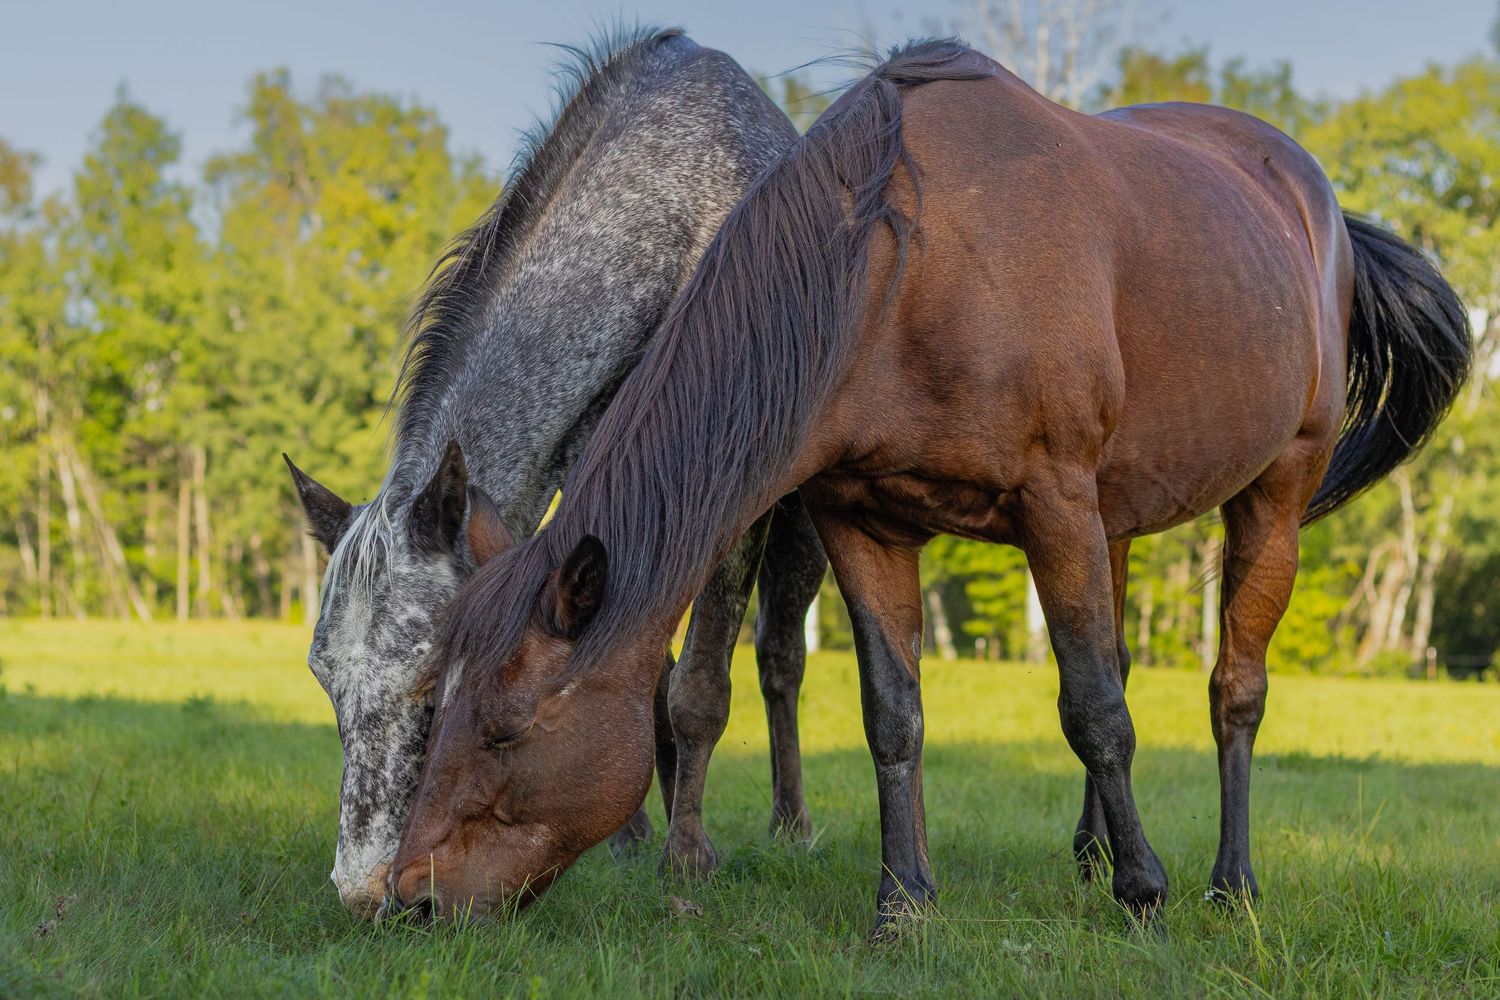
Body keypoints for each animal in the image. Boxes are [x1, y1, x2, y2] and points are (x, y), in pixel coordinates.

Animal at [282, 26, 826, 919]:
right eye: (324, 677)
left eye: (430, 686)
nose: (364, 894)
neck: (671, 210)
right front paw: (632, 834)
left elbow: (701, 685)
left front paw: (687, 856)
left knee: (781, 656)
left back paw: (791, 824)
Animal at [388, 39, 1470, 930]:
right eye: (431, 707)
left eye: (504, 730)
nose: (409, 896)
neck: (908, 269)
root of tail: (1318, 205)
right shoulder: (866, 522)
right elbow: (896, 714)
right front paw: (904, 900)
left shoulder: (1053, 503)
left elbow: (1093, 710)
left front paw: (1144, 889)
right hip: (1116, 516)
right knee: (1120, 657)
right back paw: (1089, 852)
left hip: (1273, 494)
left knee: (1233, 691)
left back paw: (1228, 881)